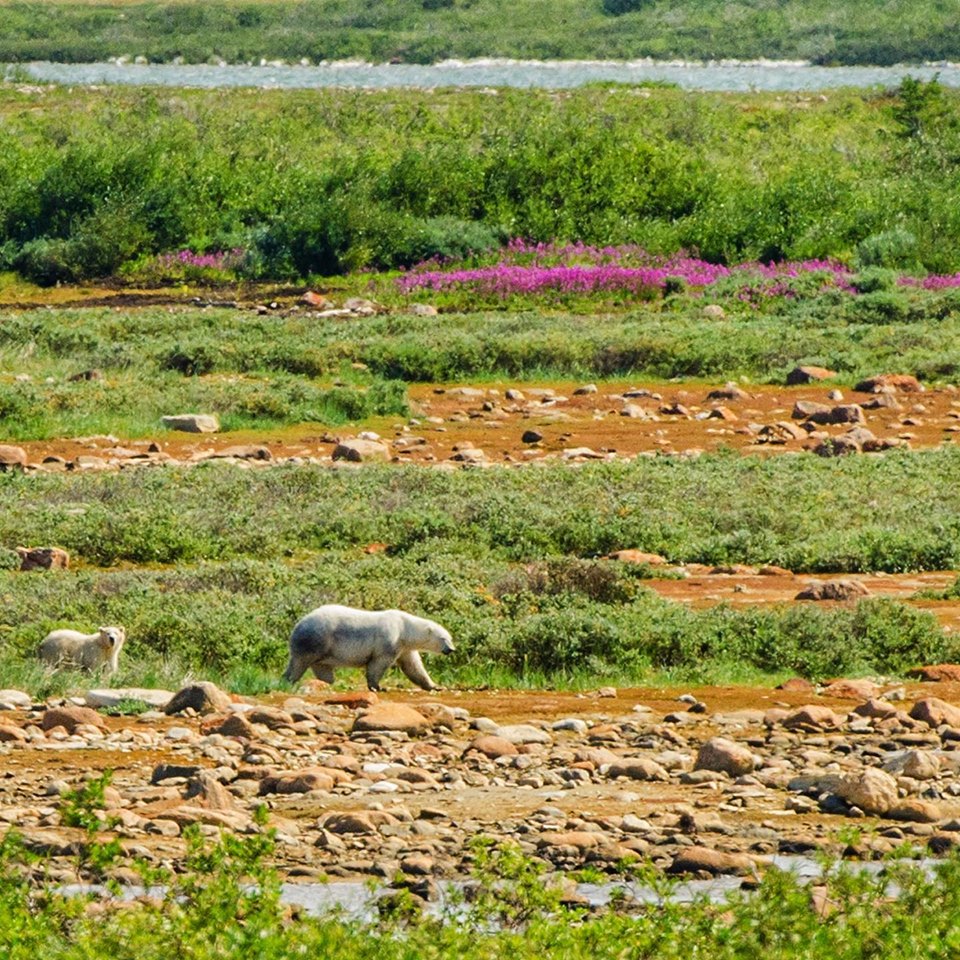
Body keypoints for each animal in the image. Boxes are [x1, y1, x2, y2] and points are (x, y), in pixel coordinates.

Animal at [283, 604, 455, 691]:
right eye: (443, 638)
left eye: (451, 638)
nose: (451, 650)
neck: (405, 627)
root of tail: (298, 624)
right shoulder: (390, 639)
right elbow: (378, 663)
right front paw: (378, 687)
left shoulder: (405, 648)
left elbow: (413, 667)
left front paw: (435, 686)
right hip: (315, 639)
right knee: (299, 663)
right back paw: (288, 681)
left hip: (322, 649)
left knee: (323, 668)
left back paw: (330, 683)